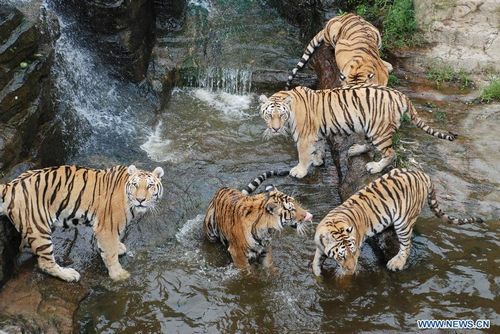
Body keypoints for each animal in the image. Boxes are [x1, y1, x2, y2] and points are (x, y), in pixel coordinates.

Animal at [0, 164, 164, 282]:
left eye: (150, 186)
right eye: (135, 185)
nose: (140, 200)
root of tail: (10, 186)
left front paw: (119, 248)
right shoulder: (106, 228)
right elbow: (110, 254)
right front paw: (119, 275)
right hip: (39, 228)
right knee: (45, 263)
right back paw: (69, 275)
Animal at [258, 85, 458, 179]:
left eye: (281, 115)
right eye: (269, 115)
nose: (275, 128)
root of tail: (401, 95)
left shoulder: (304, 137)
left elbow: (303, 155)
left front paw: (299, 171)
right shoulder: (317, 133)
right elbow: (319, 147)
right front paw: (318, 160)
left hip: (379, 131)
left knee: (390, 152)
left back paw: (375, 167)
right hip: (370, 128)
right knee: (369, 146)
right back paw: (355, 149)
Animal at [312, 170, 484, 276]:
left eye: (354, 252)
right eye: (341, 256)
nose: (351, 269)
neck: (334, 224)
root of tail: (422, 174)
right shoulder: (320, 246)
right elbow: (316, 260)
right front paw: (318, 274)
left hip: (404, 222)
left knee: (406, 246)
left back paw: (397, 263)